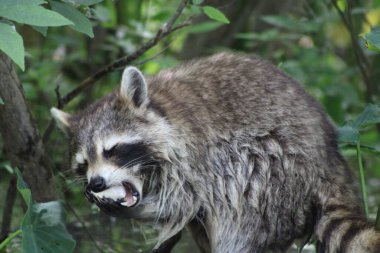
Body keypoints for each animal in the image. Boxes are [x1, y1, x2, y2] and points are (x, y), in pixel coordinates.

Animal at [51, 52, 380, 252]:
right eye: (83, 164)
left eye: (112, 150)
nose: (96, 183)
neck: (159, 109)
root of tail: (328, 159)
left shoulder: (197, 156)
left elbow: (184, 201)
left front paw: (142, 209)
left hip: (278, 167)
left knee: (240, 197)